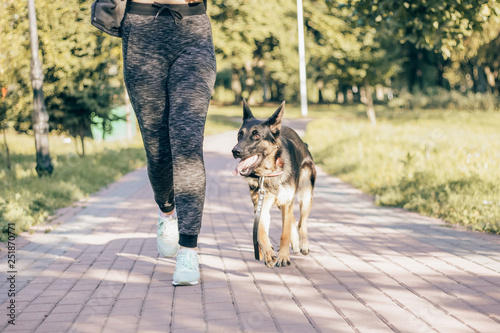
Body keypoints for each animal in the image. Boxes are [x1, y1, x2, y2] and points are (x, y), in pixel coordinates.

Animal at [231, 100, 316, 266]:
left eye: (257, 135)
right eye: (239, 135)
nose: (235, 151)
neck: (267, 173)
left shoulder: (287, 203)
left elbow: (284, 234)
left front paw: (283, 257)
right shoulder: (261, 205)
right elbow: (261, 233)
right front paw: (268, 252)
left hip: (305, 196)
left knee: (301, 222)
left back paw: (303, 244)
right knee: (293, 220)